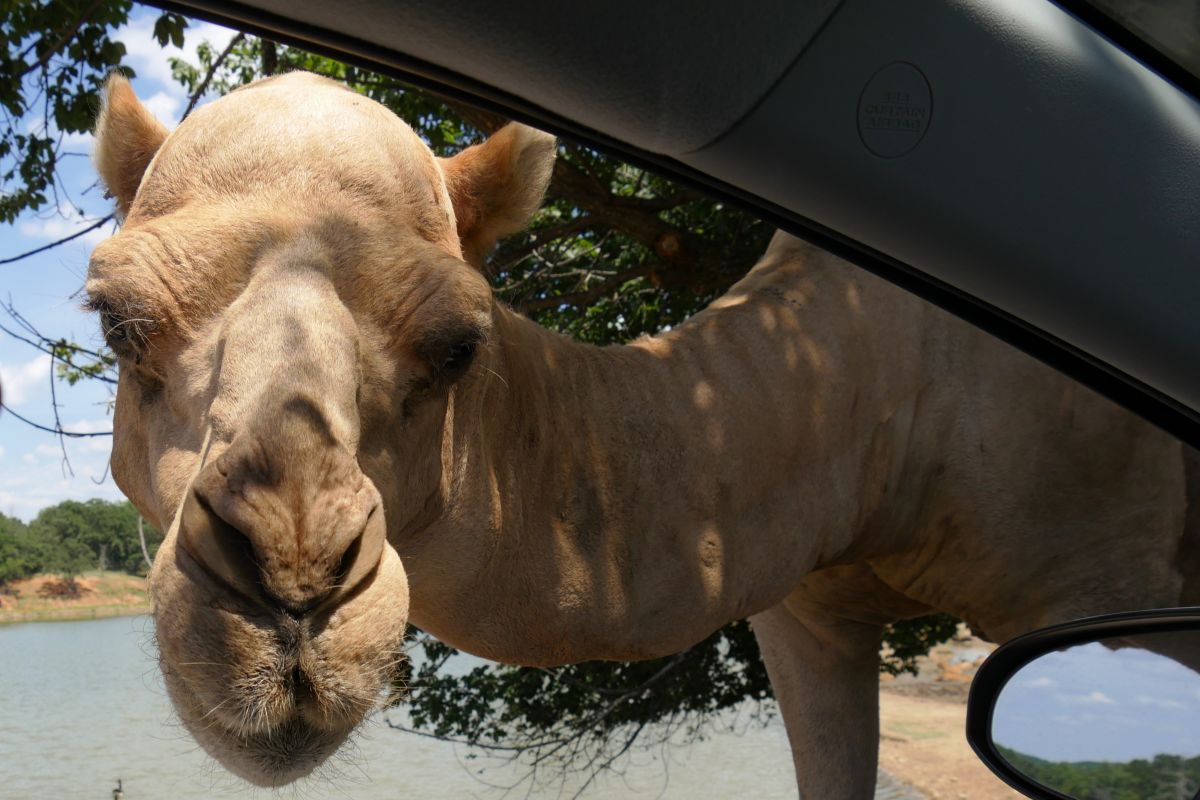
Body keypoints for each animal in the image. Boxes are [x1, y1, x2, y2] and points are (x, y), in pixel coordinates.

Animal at [87, 71, 1200, 796]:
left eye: (458, 345)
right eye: (116, 321)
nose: (292, 584)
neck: (869, 387)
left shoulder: (1113, 572)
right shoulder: (808, 609)